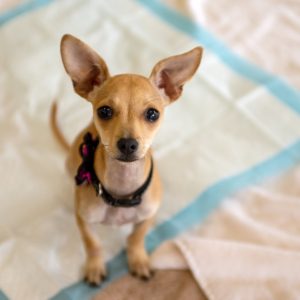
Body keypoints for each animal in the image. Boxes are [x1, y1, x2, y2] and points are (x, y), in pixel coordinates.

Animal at [50, 34, 203, 284]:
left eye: (153, 114)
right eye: (104, 111)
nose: (128, 144)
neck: (122, 189)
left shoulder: (148, 215)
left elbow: (135, 238)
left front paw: (138, 260)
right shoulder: (84, 221)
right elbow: (93, 244)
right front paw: (94, 267)